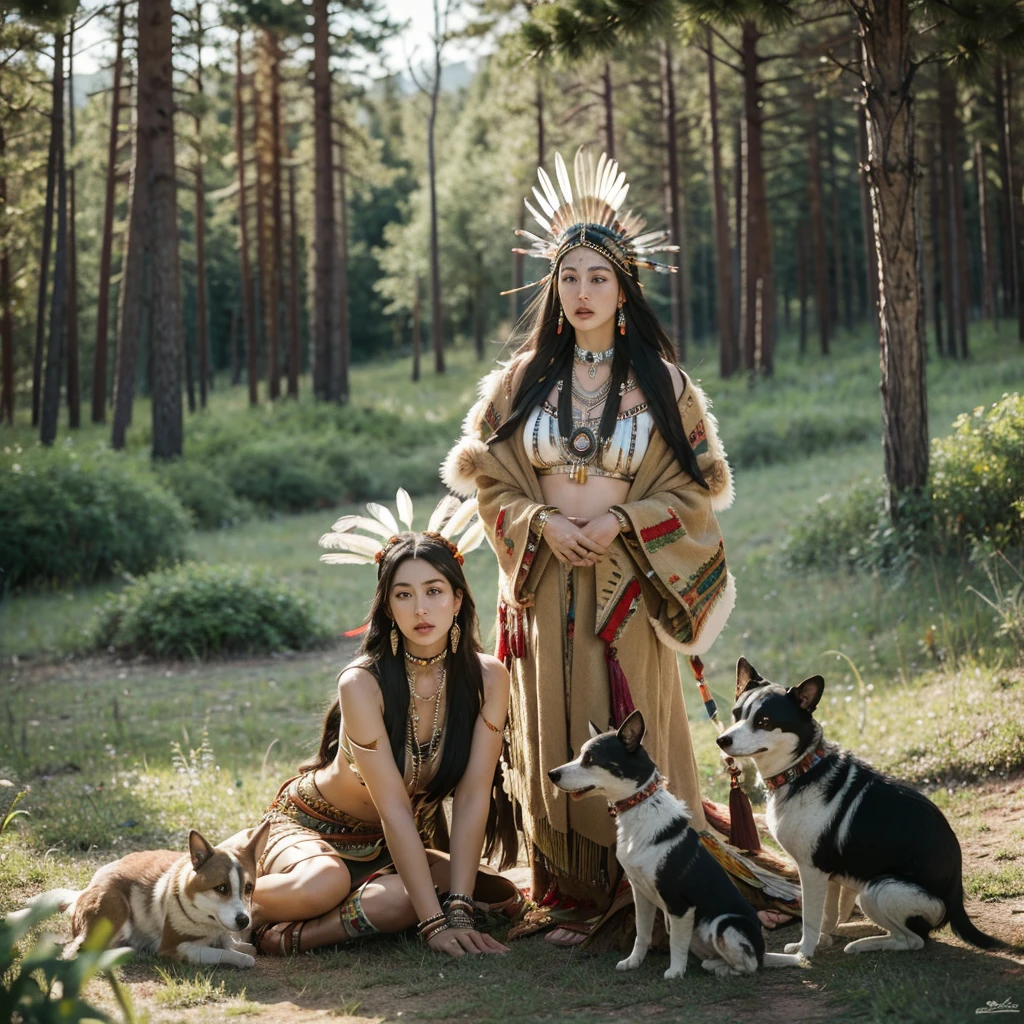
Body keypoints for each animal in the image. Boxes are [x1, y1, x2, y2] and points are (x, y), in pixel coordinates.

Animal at [6, 823, 270, 966]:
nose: (244, 920)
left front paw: (237, 945)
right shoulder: (174, 948)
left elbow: (240, 946)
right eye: (222, 888)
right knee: (77, 950)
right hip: (116, 907)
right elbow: (225, 953)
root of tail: (87, 888)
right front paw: (239, 958)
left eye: (248, 888)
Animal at [548, 708, 802, 978]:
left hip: (725, 924)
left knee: (749, 965)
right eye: (580, 755)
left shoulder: (679, 904)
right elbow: (642, 934)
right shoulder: (641, 894)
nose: (552, 774)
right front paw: (633, 961)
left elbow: (676, 943)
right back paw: (712, 963)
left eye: (590, 759)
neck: (640, 807)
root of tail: (764, 951)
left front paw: (675, 971)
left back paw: (721, 968)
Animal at [716, 655, 1003, 958]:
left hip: (877, 890)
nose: (722, 740)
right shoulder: (829, 877)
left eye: (764, 721)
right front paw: (821, 941)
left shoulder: (812, 871)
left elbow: (810, 918)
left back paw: (862, 943)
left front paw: (803, 954)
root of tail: (955, 897)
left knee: (913, 939)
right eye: (736, 714)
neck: (801, 768)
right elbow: (826, 916)